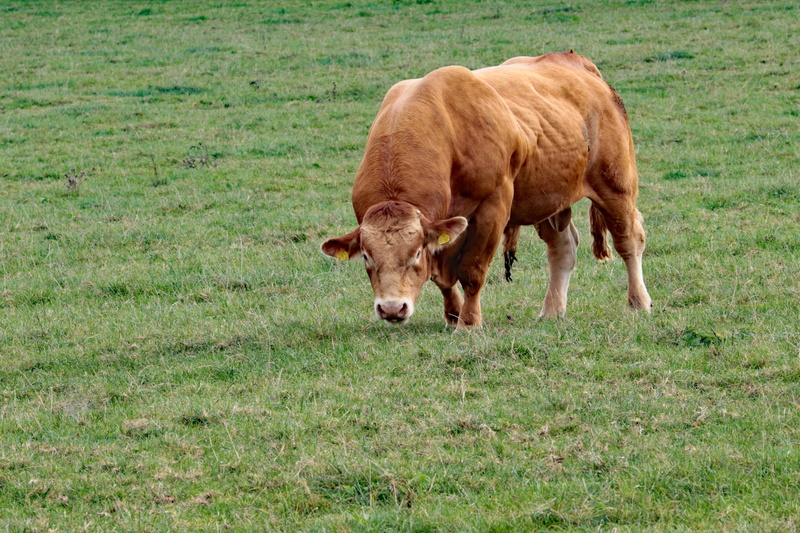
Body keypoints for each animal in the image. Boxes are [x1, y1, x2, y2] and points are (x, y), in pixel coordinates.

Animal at [322, 51, 651, 329]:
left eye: (415, 253)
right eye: (366, 256)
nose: (392, 308)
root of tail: (579, 65)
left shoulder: (492, 208)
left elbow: (472, 270)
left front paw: (468, 323)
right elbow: (442, 278)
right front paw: (453, 315)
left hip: (615, 185)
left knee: (629, 240)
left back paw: (638, 301)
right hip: (547, 198)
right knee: (563, 249)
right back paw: (552, 310)